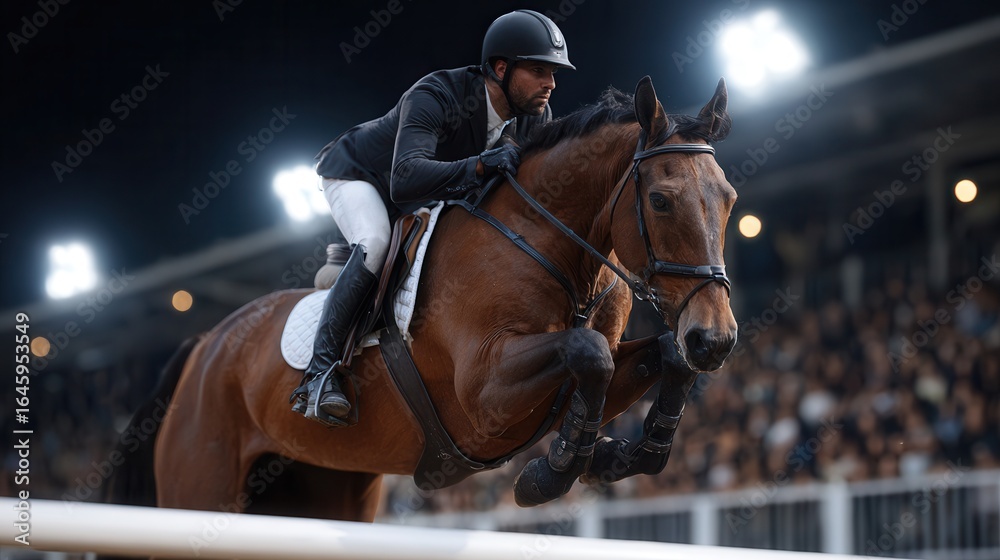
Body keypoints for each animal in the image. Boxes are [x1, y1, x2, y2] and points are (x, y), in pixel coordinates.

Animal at [105, 75, 738, 531]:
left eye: (729, 199)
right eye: (660, 200)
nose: (716, 339)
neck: (551, 241)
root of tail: (204, 345)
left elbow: (655, 358)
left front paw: (627, 454)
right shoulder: (484, 395)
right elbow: (589, 354)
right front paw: (550, 475)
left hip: (323, 486)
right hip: (200, 488)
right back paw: (321, 389)